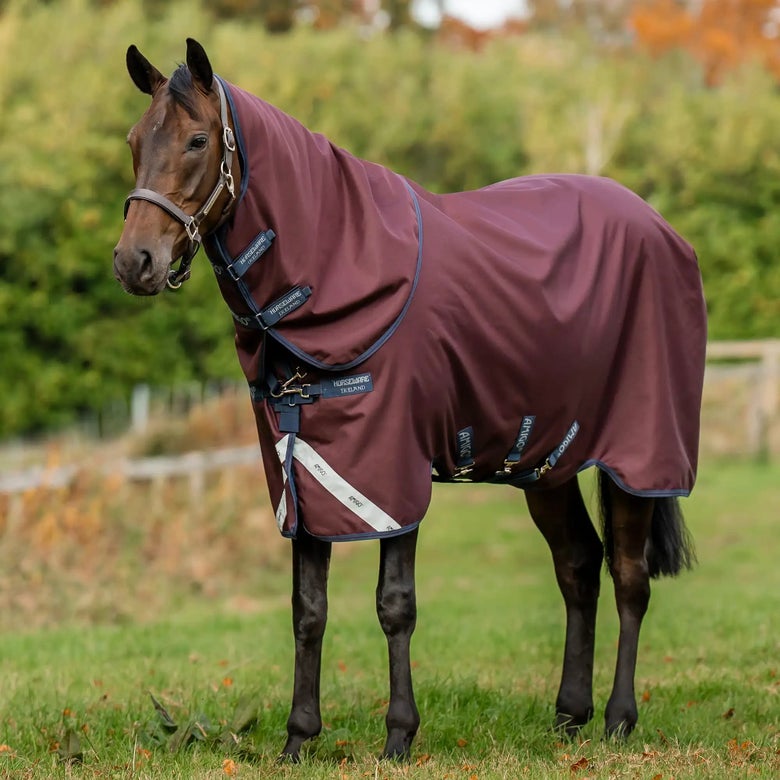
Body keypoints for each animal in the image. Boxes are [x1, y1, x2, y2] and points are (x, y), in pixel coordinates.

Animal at [113, 39, 706, 761]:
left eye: (198, 139)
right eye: (135, 140)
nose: (133, 262)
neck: (339, 270)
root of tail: (659, 226)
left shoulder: (390, 470)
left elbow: (394, 603)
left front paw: (399, 735)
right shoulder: (302, 470)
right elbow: (308, 610)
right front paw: (298, 739)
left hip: (638, 452)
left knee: (628, 574)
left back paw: (620, 719)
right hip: (545, 459)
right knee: (577, 566)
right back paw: (570, 715)